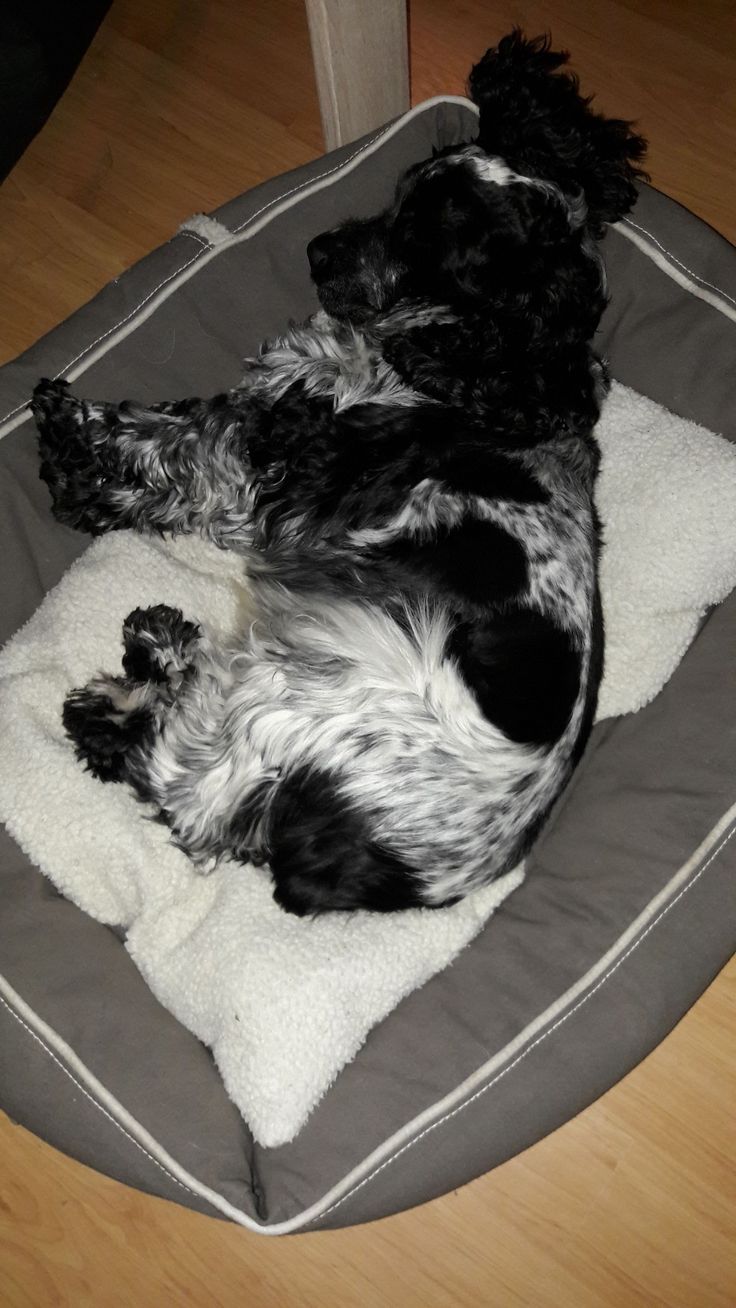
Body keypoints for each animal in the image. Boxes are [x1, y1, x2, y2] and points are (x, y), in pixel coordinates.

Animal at [33, 30, 645, 910]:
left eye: (429, 243)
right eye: (398, 201)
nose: (317, 250)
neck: (478, 362)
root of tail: (383, 868)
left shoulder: (273, 468)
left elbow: (174, 442)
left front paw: (68, 438)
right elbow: (180, 435)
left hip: (293, 707)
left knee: (175, 778)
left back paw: (137, 665)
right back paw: (155, 650)